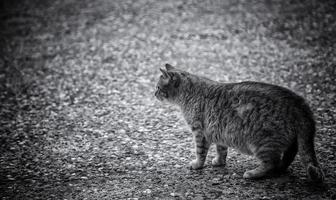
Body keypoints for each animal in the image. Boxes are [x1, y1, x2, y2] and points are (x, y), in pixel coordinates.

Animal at [156, 63, 326, 182]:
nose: (154, 94)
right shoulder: (218, 131)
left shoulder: (200, 132)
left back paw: (253, 173)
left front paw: (197, 164)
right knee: (286, 158)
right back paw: (279, 169)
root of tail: (299, 103)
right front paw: (219, 161)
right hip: (288, 142)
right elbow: (221, 150)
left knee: (271, 163)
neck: (190, 94)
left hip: (262, 143)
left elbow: (200, 152)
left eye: (158, 87)